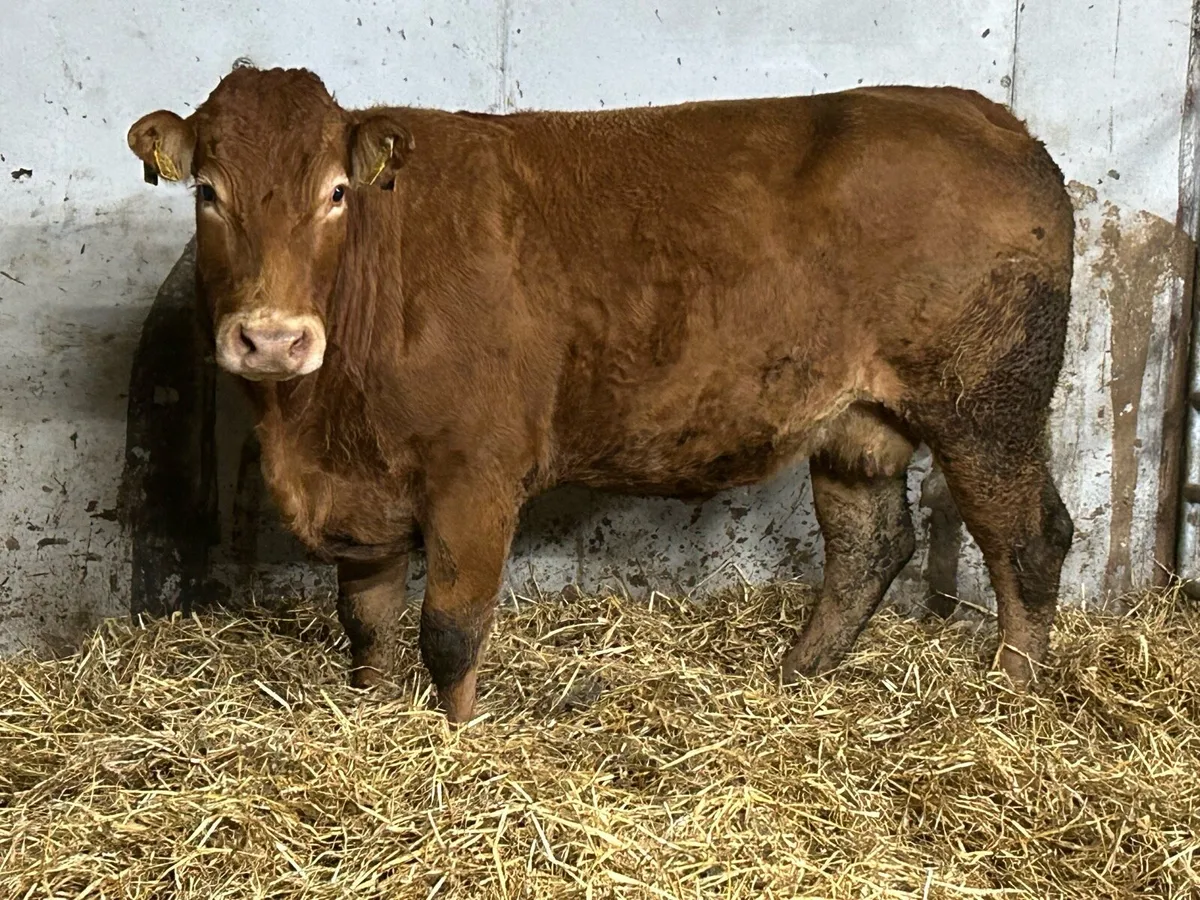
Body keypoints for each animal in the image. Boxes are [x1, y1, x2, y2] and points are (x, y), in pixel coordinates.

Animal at [128, 66, 1075, 723]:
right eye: (207, 192)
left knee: (1028, 541)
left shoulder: (476, 476)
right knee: (871, 545)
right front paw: (366, 712)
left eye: (334, 192)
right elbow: (366, 621)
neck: (316, 427)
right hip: (858, 418)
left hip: (987, 406)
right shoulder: (362, 492)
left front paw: (455, 741)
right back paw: (797, 676)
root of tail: (989, 118)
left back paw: (1011, 702)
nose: (272, 337)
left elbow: (450, 630)